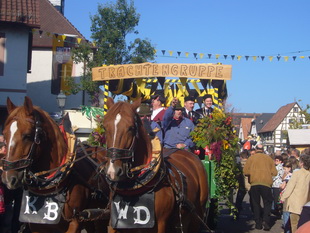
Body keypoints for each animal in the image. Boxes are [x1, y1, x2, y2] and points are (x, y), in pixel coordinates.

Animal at [101, 97, 208, 232]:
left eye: (131, 127)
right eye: (105, 127)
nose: (113, 171)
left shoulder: (161, 224)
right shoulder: (114, 223)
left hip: (197, 213)